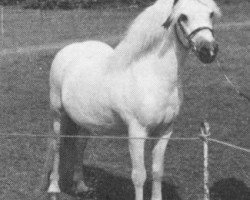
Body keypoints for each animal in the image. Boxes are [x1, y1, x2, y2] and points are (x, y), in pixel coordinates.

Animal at [39, 0, 221, 199]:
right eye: (183, 17)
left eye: (211, 14)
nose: (208, 51)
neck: (152, 76)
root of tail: (69, 50)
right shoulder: (137, 132)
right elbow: (139, 175)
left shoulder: (165, 131)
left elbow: (157, 171)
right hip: (58, 114)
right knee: (57, 145)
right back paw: (53, 187)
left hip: (85, 120)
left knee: (80, 146)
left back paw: (81, 186)